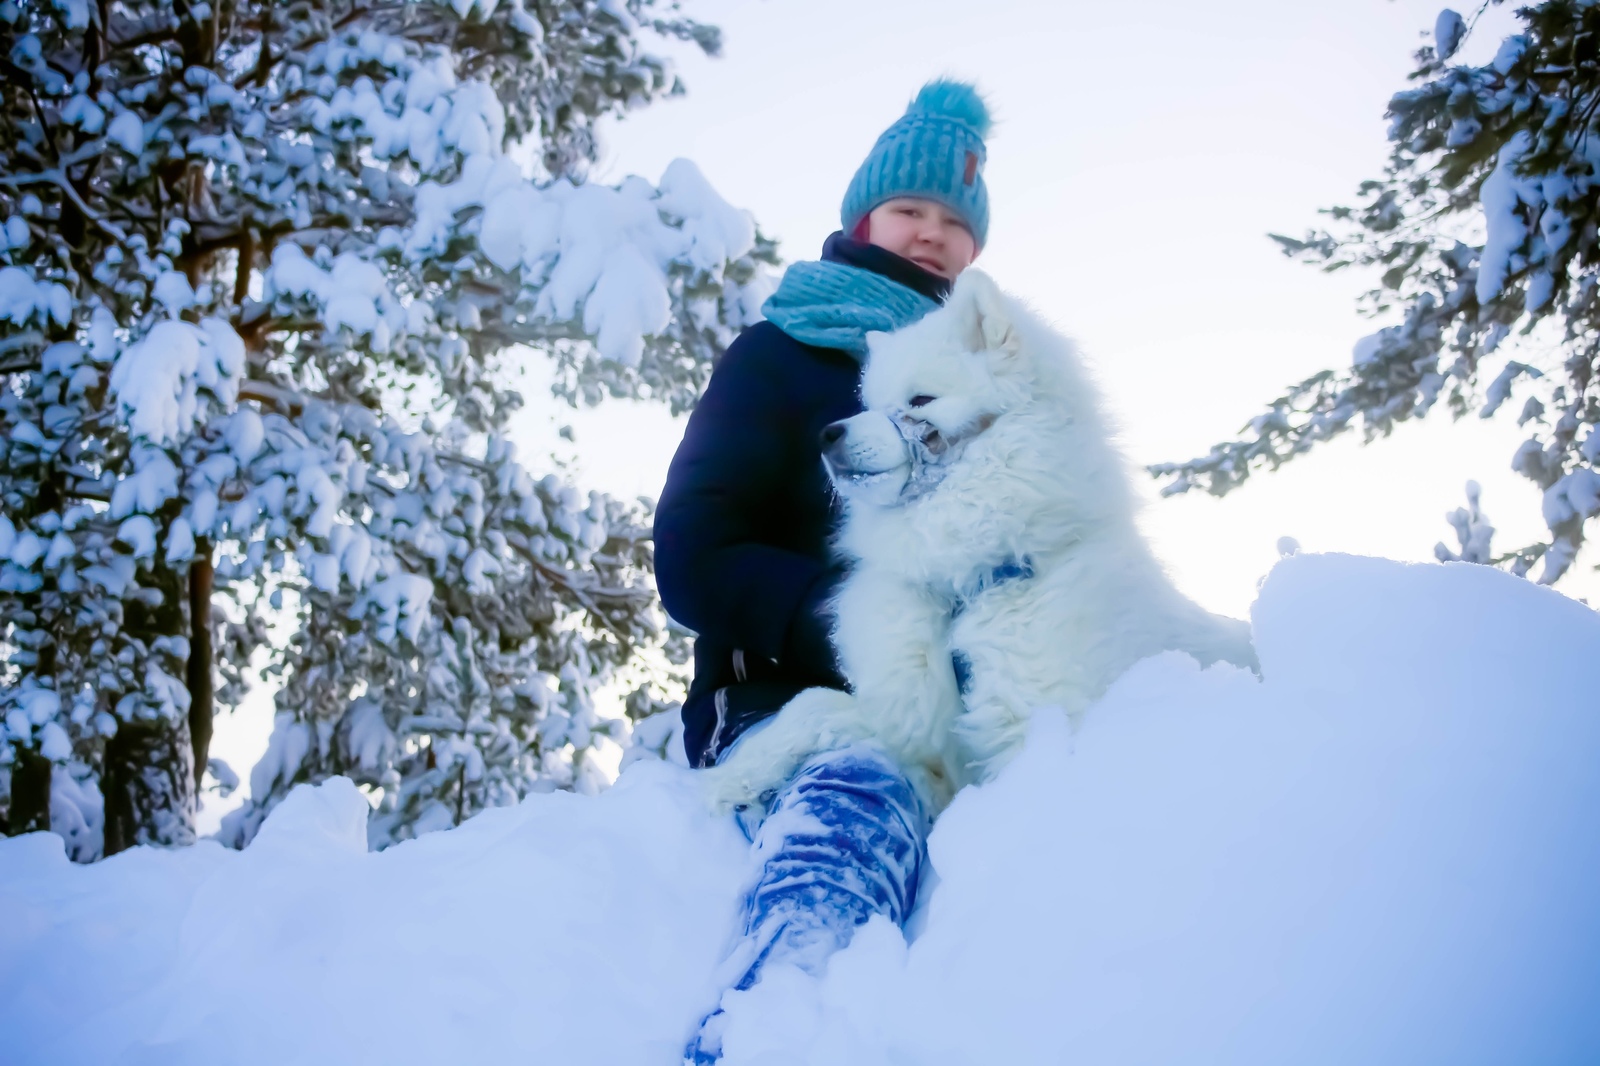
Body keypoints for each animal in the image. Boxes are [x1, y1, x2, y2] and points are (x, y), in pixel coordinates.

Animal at [707, 270, 1254, 809]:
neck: (969, 587)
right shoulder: (925, 737)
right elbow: (815, 704)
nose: (827, 435)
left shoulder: (1035, 733)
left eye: (920, 401)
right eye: (871, 406)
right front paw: (728, 780)